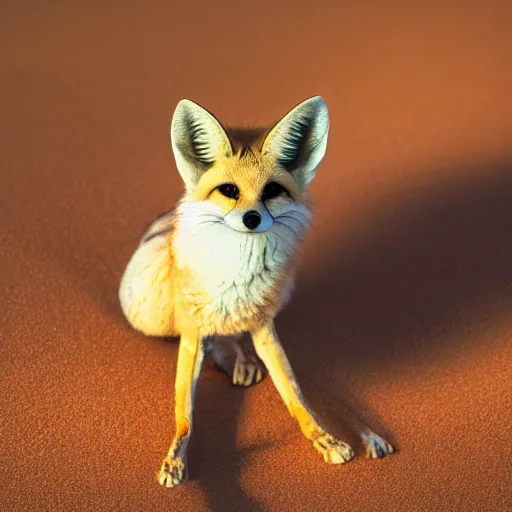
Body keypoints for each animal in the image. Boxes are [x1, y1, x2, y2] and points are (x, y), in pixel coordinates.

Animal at [119, 97, 392, 488]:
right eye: (229, 191)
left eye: (272, 191)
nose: (251, 219)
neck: (236, 281)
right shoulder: (192, 332)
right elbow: (184, 415)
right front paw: (175, 459)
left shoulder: (265, 328)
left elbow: (298, 397)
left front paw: (324, 437)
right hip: (149, 309)